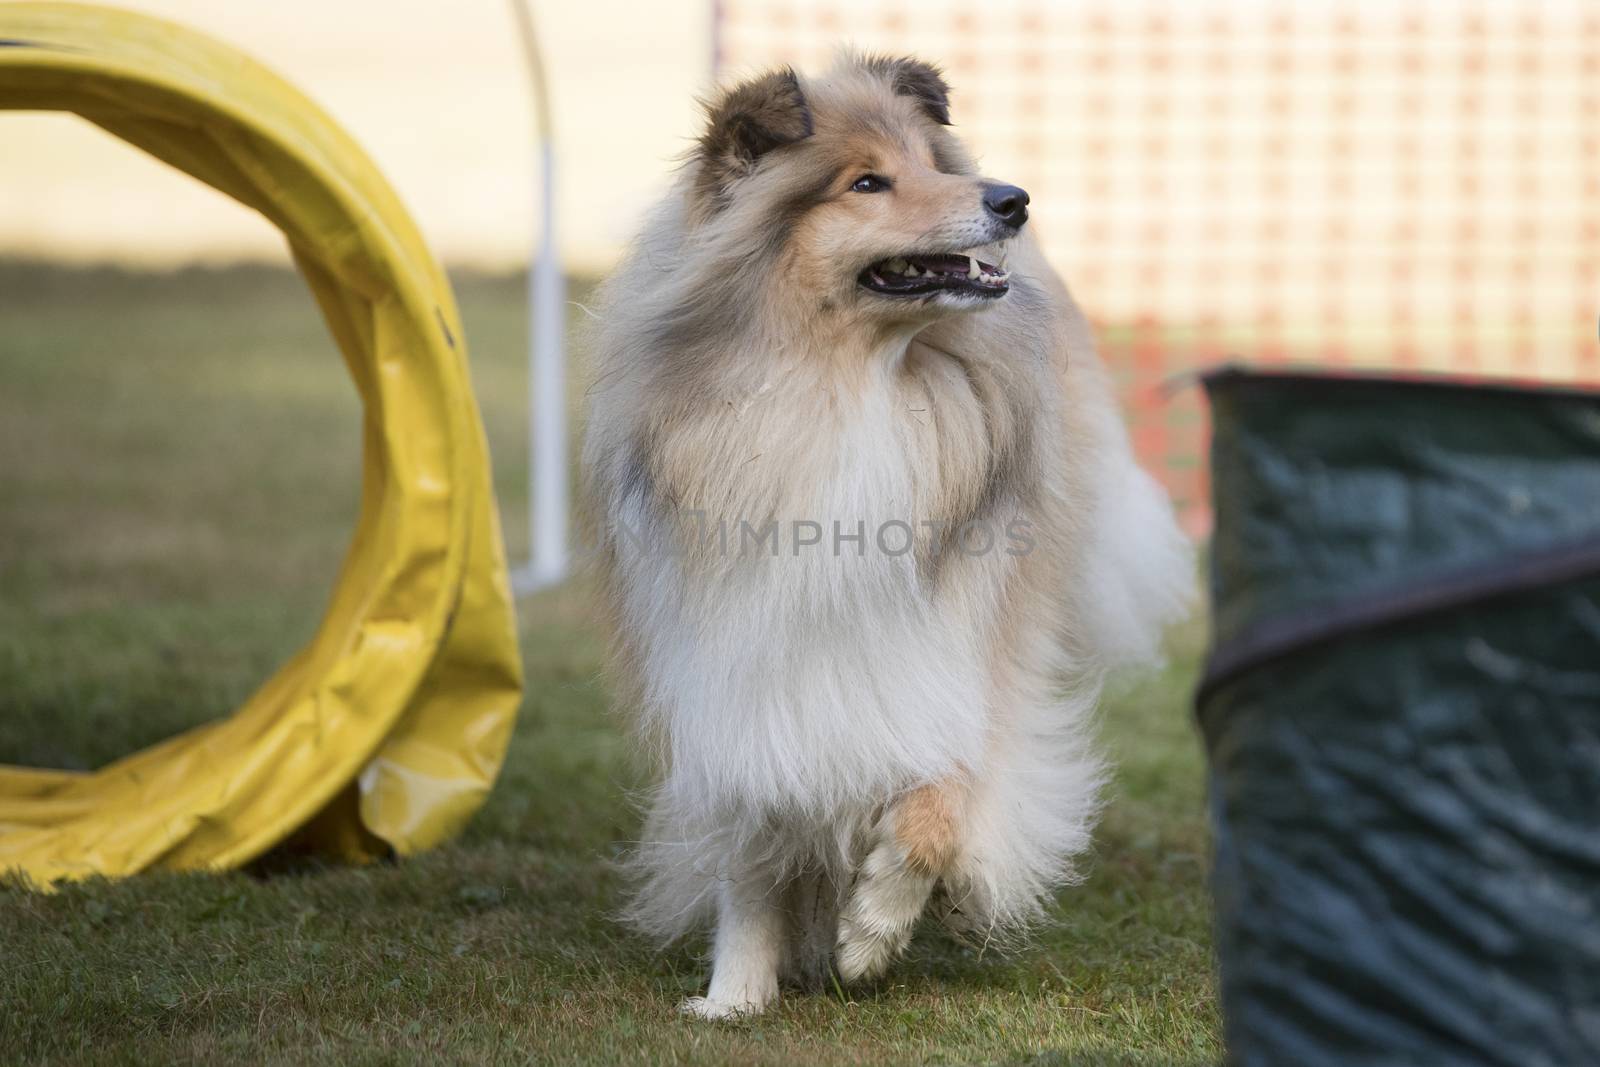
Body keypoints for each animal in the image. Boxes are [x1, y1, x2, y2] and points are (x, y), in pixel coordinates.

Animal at [582, 51, 1196, 1017]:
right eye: (867, 182)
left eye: (928, 163)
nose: (1013, 200)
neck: (847, 388)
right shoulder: (734, 662)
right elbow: (750, 843)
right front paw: (735, 994)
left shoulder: (959, 645)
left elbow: (944, 793)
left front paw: (872, 929)